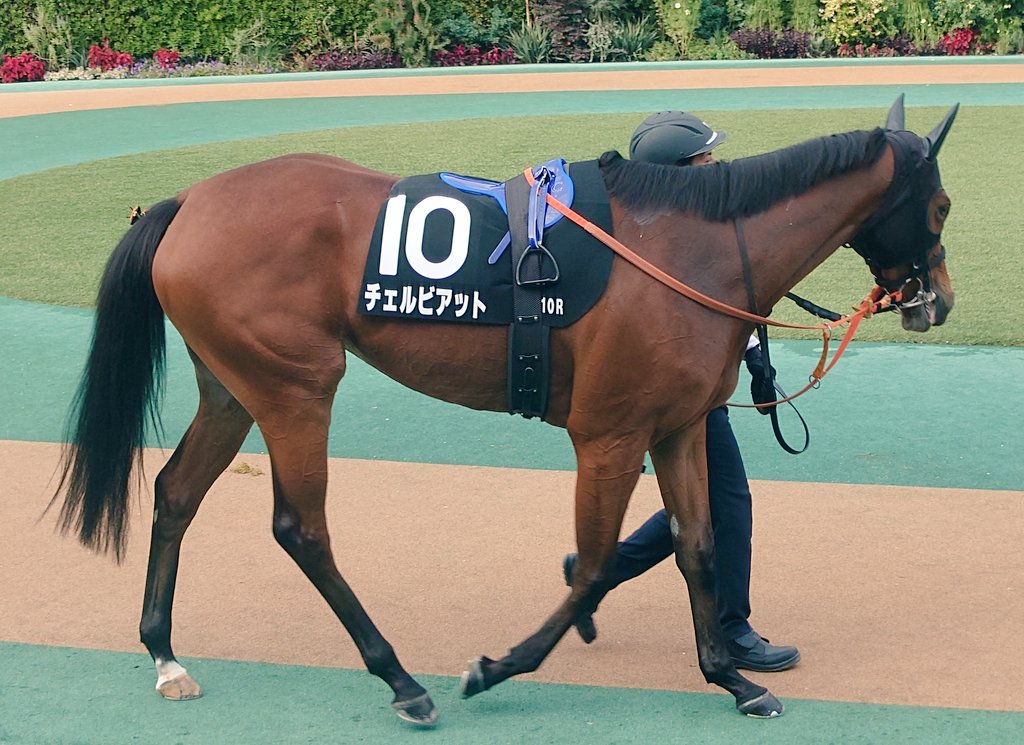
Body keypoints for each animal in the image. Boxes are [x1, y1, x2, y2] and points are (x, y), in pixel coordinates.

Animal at [51, 97, 957, 726]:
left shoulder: (678, 428)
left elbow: (699, 545)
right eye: (943, 206)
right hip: (295, 385)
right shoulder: (609, 435)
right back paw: (400, 679)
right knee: (300, 528)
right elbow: (593, 562)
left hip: (233, 386)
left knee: (175, 492)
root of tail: (186, 202)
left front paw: (729, 674)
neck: (690, 250)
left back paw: (165, 652)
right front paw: (498, 666)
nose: (940, 301)